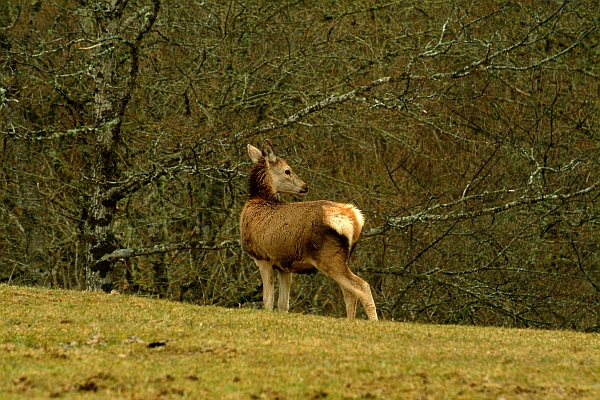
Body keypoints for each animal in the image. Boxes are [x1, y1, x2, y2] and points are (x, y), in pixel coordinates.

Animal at [240, 141, 378, 322]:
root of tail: (355, 218)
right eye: (287, 170)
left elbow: (267, 301)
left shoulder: (263, 256)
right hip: (342, 258)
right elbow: (283, 305)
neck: (258, 202)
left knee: (362, 286)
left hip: (329, 256)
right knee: (349, 293)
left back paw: (374, 322)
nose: (304, 186)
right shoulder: (285, 265)